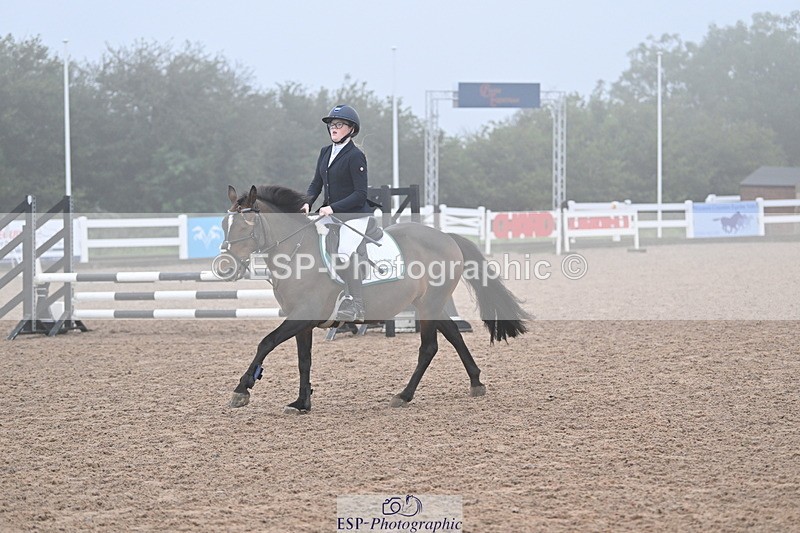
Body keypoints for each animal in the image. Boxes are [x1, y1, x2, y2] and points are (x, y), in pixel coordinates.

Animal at [220, 184, 531, 412]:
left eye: (247, 223)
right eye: (224, 223)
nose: (225, 267)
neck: (297, 252)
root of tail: (446, 236)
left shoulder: (302, 315)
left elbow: (266, 342)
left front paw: (242, 389)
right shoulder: (301, 321)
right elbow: (303, 360)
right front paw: (301, 403)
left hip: (429, 305)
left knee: (429, 347)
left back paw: (404, 395)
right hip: (429, 304)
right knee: (454, 334)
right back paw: (476, 382)